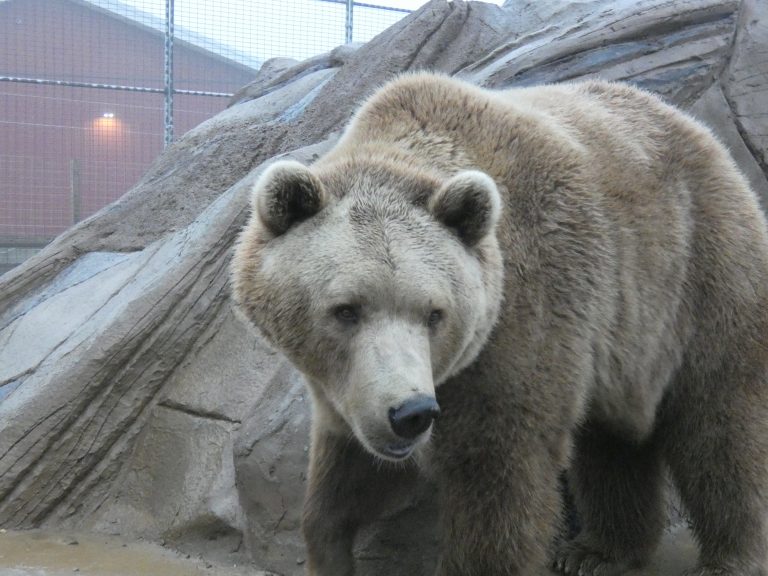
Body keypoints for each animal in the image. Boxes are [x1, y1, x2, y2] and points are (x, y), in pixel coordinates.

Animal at [231, 72, 768, 576]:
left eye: (435, 313)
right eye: (346, 309)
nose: (411, 412)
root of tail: (705, 137)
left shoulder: (520, 317)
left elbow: (498, 478)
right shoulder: (352, 387)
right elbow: (345, 472)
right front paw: (329, 546)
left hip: (698, 270)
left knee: (720, 423)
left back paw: (727, 557)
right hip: (625, 325)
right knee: (611, 436)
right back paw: (599, 551)